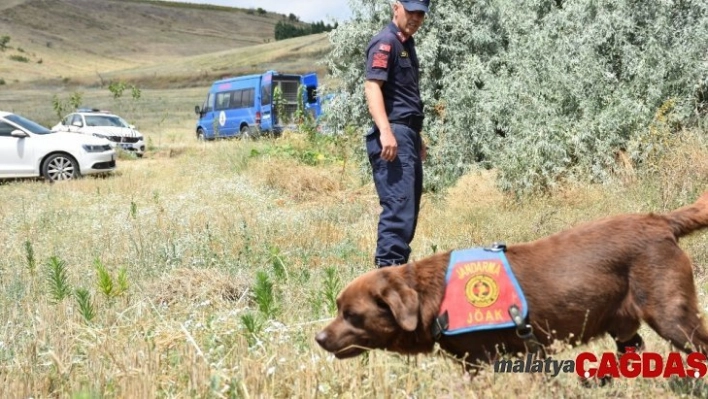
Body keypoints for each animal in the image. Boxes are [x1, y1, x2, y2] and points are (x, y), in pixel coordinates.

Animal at [318, 192, 708, 368]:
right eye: (337, 308)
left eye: (352, 315)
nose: (319, 338)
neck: (434, 295)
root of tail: (661, 220)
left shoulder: (491, 360)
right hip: (624, 327)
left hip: (672, 317)